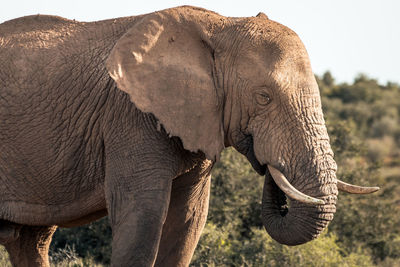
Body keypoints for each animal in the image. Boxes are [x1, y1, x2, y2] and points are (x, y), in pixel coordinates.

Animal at [0, 5, 378, 266]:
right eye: (263, 97)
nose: (269, 165)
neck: (223, 24)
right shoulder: (130, 117)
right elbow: (143, 219)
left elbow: (189, 221)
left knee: (32, 241)